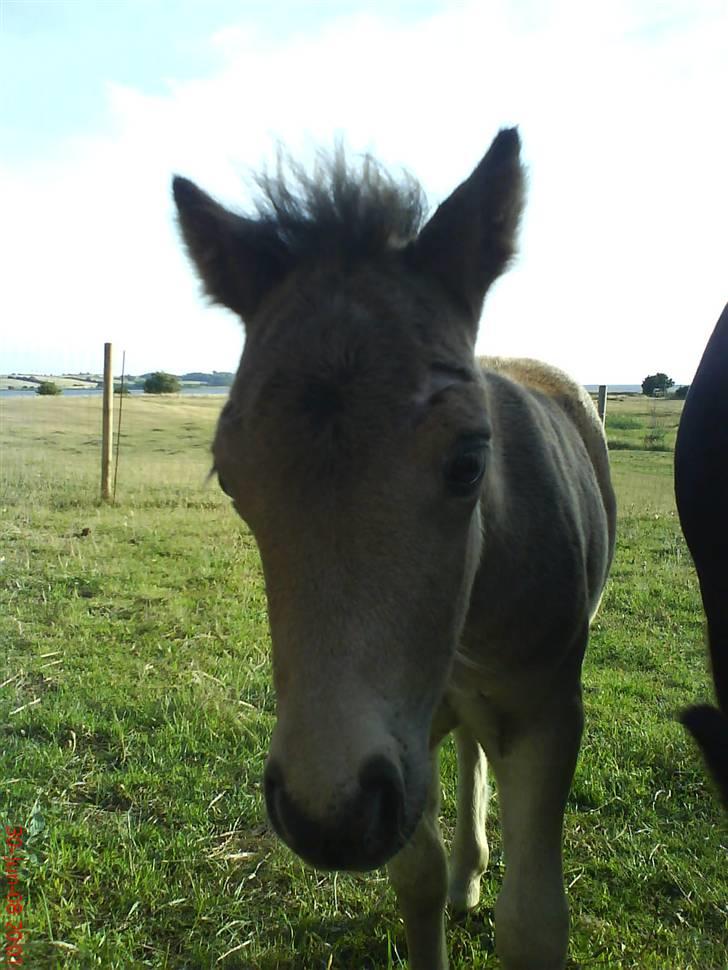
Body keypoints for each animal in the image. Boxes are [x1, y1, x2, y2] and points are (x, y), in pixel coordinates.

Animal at [175, 130, 616, 968]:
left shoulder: (549, 710)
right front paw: (449, 880)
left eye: (470, 461)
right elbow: (417, 877)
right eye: (231, 479)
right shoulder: (408, 739)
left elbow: (533, 923)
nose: (328, 815)